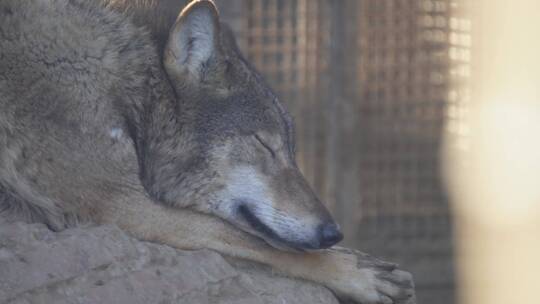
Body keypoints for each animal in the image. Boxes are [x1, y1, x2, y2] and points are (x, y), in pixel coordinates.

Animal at [0, 1, 416, 302]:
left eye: (291, 149)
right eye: (265, 144)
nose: (334, 232)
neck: (128, 87)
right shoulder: (117, 206)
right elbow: (260, 244)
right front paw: (359, 272)